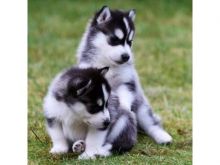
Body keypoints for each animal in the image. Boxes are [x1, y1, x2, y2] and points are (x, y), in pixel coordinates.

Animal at [76, 6, 173, 144]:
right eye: (114, 40)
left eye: (130, 42)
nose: (126, 56)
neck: (109, 65)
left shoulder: (126, 82)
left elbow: (124, 98)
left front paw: (123, 109)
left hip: (142, 109)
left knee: (151, 123)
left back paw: (162, 137)